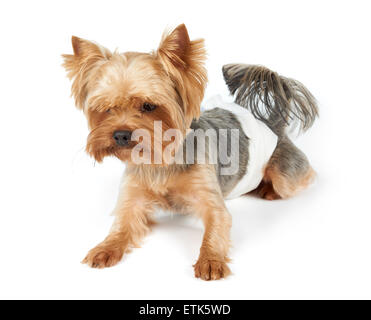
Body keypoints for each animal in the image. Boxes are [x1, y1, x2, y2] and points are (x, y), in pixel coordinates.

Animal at [62, 24, 318, 280]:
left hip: (285, 174)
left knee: (303, 177)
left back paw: (269, 189)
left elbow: (216, 227)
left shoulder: (212, 201)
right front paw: (105, 248)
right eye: (107, 109)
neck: (157, 160)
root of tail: (272, 123)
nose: (120, 135)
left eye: (148, 106)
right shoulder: (132, 199)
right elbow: (121, 225)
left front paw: (210, 261)